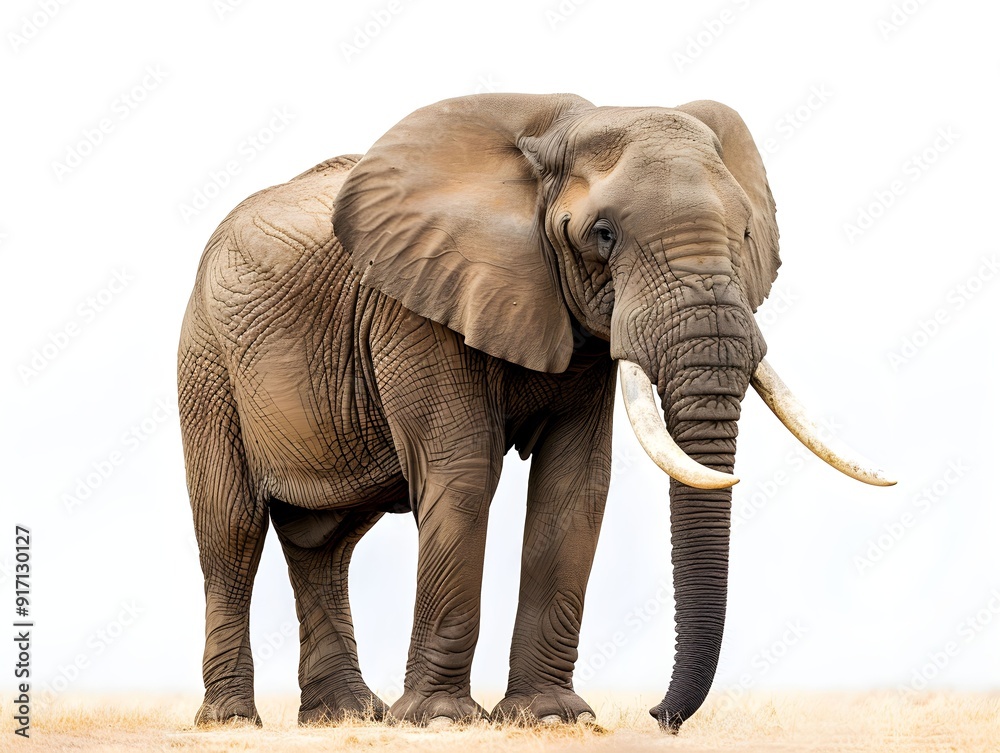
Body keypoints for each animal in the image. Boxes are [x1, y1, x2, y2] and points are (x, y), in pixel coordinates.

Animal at [177, 93, 892, 732]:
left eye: (745, 232)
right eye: (603, 234)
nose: (658, 716)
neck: (555, 133)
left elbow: (575, 486)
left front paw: (550, 718)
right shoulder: (415, 305)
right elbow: (463, 475)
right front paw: (440, 722)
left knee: (324, 542)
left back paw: (343, 716)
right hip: (206, 360)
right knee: (232, 531)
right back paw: (235, 721)